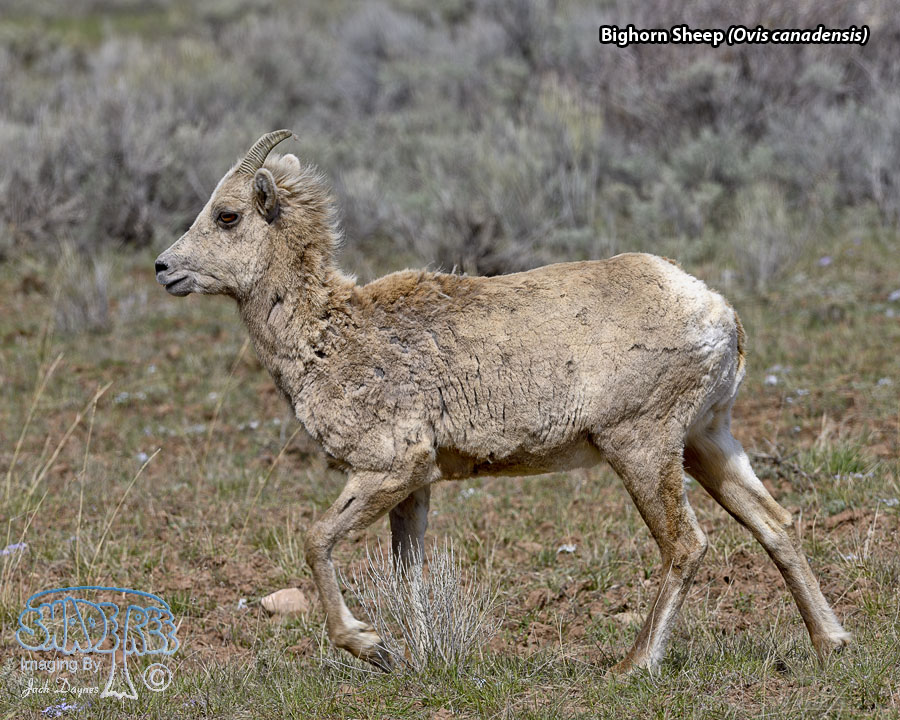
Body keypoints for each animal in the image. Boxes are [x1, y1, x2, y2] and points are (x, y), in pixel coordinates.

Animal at [154, 130, 850, 675]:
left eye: (226, 216)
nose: (164, 268)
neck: (330, 334)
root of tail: (717, 312)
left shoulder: (389, 467)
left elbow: (316, 539)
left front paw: (372, 647)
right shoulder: (414, 487)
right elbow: (408, 574)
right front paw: (413, 656)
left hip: (642, 447)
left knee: (686, 544)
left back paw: (632, 666)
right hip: (708, 441)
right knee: (775, 523)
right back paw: (831, 644)